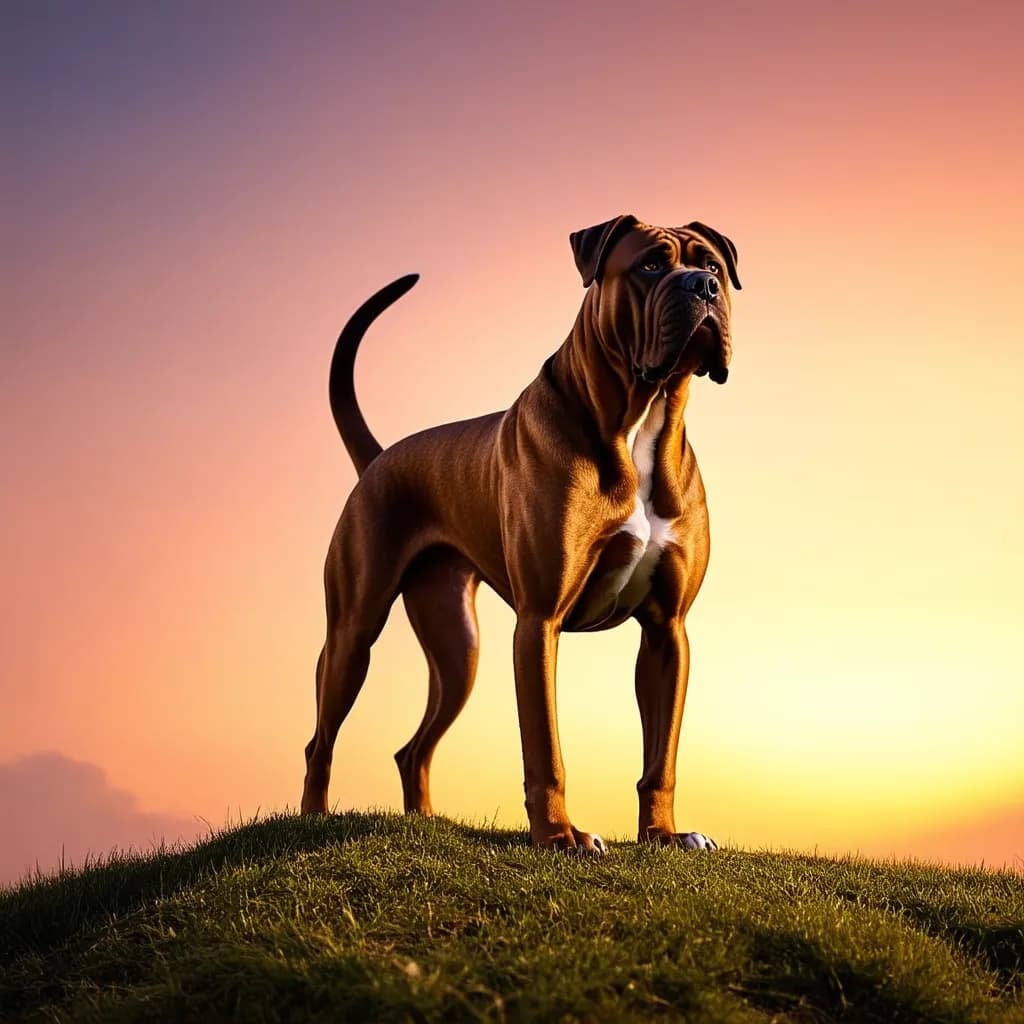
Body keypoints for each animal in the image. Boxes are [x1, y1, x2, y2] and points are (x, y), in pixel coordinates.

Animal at [299, 216, 741, 856]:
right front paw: (559, 837)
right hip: (354, 634)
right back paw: (310, 819)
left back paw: (423, 821)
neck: (643, 416)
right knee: (321, 738)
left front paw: (663, 834)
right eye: (651, 266)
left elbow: (661, 757)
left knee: (413, 749)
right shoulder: (539, 621)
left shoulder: (666, 633)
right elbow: (545, 748)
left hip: (458, 649)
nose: (702, 286)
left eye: (710, 265)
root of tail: (379, 459)